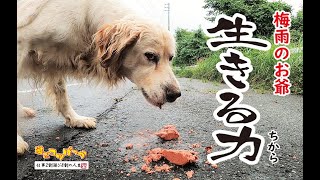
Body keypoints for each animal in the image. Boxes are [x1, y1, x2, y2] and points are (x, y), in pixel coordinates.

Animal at [18, 0, 180, 155]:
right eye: (150, 56)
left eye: (171, 58)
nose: (175, 95)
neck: (86, 17)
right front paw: (18, 142)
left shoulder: (55, 61)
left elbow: (62, 95)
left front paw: (75, 119)